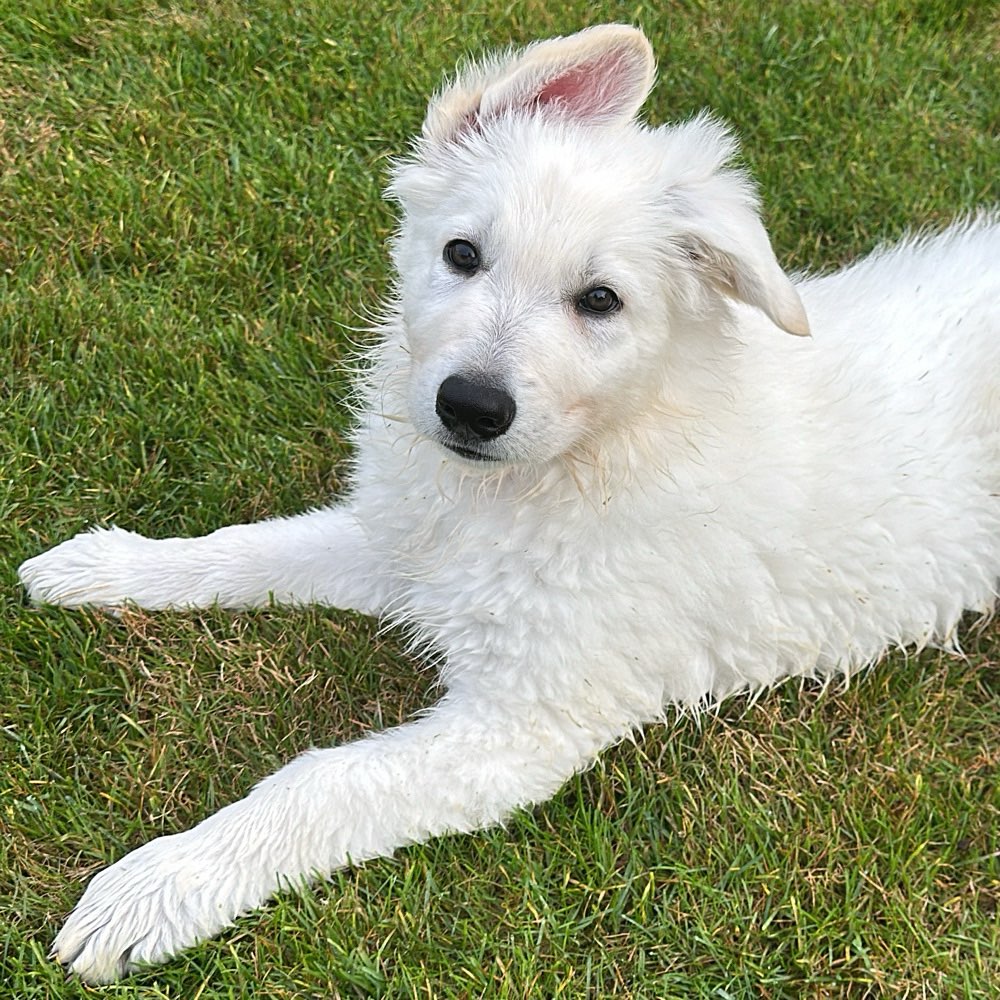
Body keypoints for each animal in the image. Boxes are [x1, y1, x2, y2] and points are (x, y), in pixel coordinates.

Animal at [15, 23, 1000, 984]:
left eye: (600, 300)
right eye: (462, 255)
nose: (471, 408)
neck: (585, 452)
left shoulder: (525, 721)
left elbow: (320, 782)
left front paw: (158, 887)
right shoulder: (406, 545)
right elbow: (246, 548)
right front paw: (106, 566)